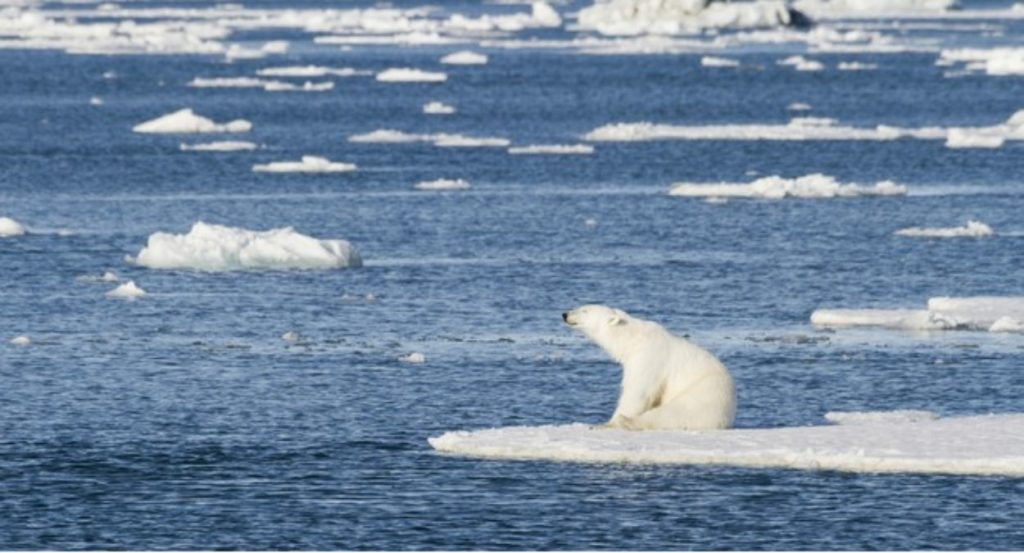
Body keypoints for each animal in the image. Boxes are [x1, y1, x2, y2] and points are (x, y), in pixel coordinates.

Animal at [561, 305, 737, 430]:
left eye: (585, 310)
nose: (565, 314)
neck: (633, 338)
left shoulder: (649, 357)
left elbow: (637, 392)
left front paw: (609, 421)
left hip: (701, 396)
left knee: (670, 414)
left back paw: (625, 421)